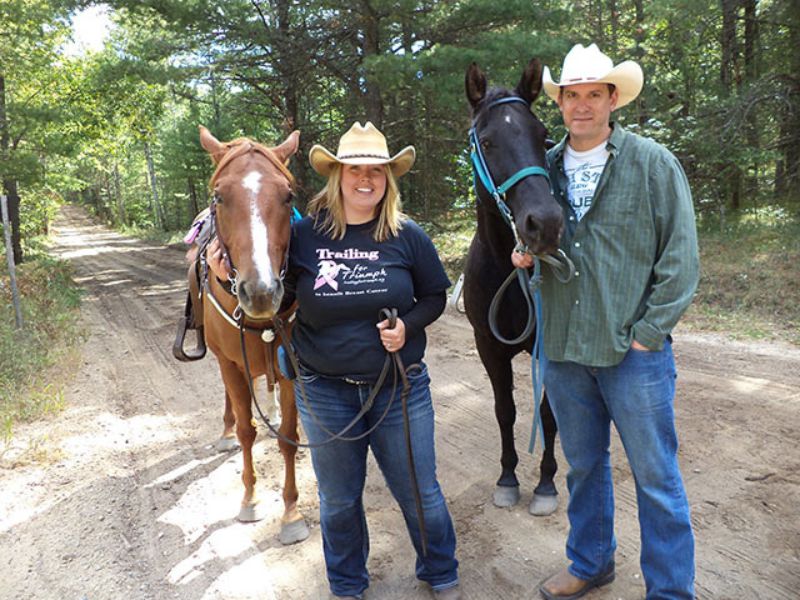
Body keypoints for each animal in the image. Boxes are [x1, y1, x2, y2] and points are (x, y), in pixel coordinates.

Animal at [189, 125, 308, 544]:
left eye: (287, 196)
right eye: (219, 196)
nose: (260, 291)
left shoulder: (289, 365)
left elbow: (287, 434)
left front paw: (291, 513)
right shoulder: (230, 362)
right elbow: (246, 431)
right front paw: (250, 498)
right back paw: (226, 429)